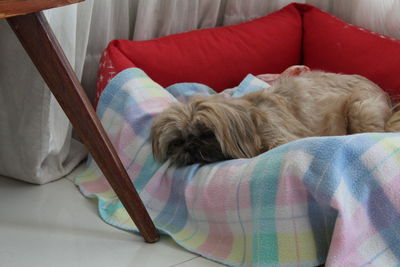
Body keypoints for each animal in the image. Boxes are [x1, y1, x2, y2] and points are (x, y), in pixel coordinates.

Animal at [151, 69, 400, 166]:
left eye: (206, 133)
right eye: (178, 142)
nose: (191, 146)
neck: (252, 124)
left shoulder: (280, 137)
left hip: (360, 109)